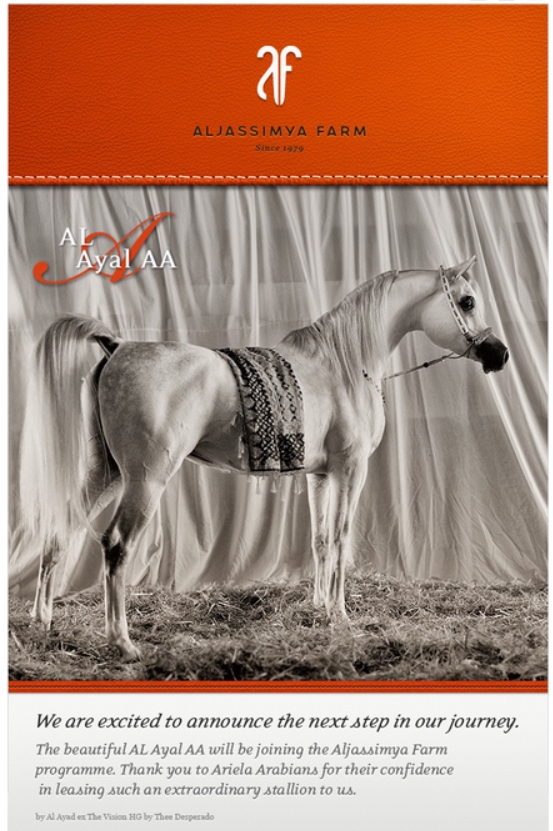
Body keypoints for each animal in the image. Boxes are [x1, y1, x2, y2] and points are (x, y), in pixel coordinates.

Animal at [18, 257, 509, 661]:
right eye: (467, 301)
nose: (499, 354)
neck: (345, 364)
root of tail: (116, 345)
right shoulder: (350, 470)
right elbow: (341, 538)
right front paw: (340, 615)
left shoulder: (319, 476)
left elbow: (321, 539)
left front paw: (318, 607)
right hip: (144, 480)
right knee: (116, 545)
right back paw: (122, 642)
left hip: (106, 473)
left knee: (59, 530)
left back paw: (43, 621)